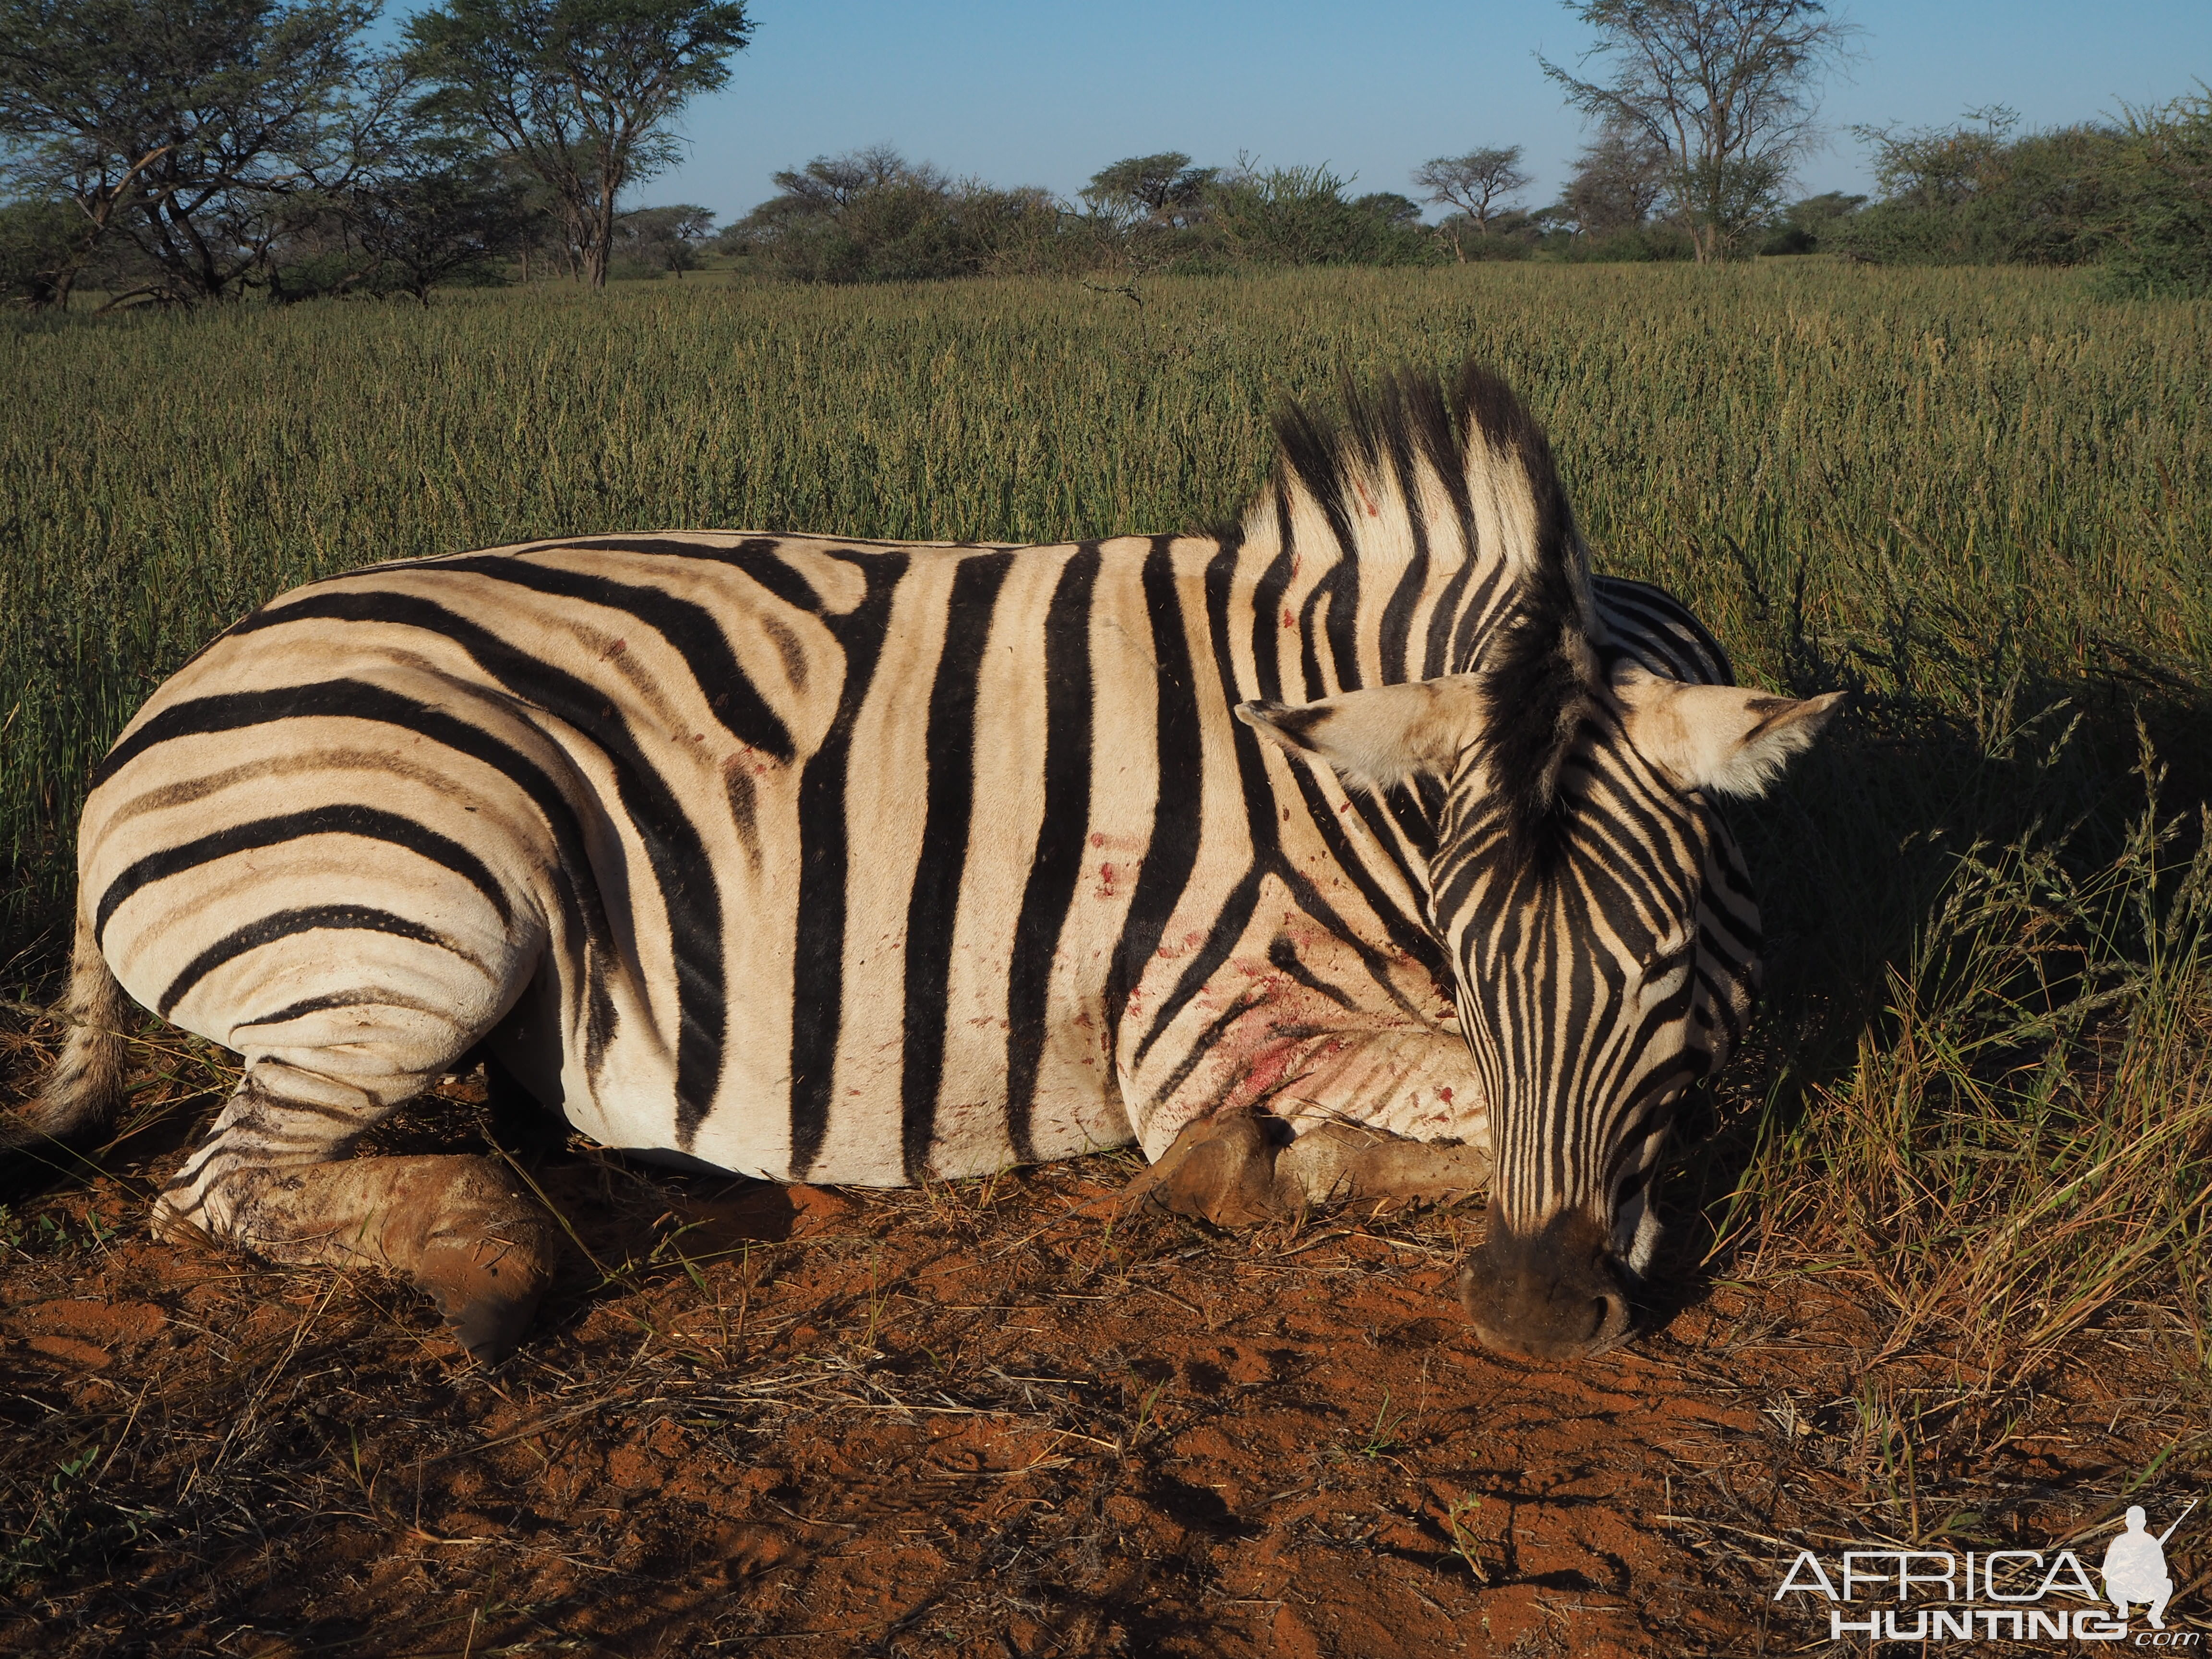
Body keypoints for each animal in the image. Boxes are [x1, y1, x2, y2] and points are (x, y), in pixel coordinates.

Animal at [13, 362, 1831, 1362]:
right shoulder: (1206, 1019)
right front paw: (1252, 1174)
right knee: (214, 1186)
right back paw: (493, 1255)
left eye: (1663, 959)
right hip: (429, 908)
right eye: (1468, 946)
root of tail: (153, 716)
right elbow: (1409, 1113)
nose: (1534, 1314)